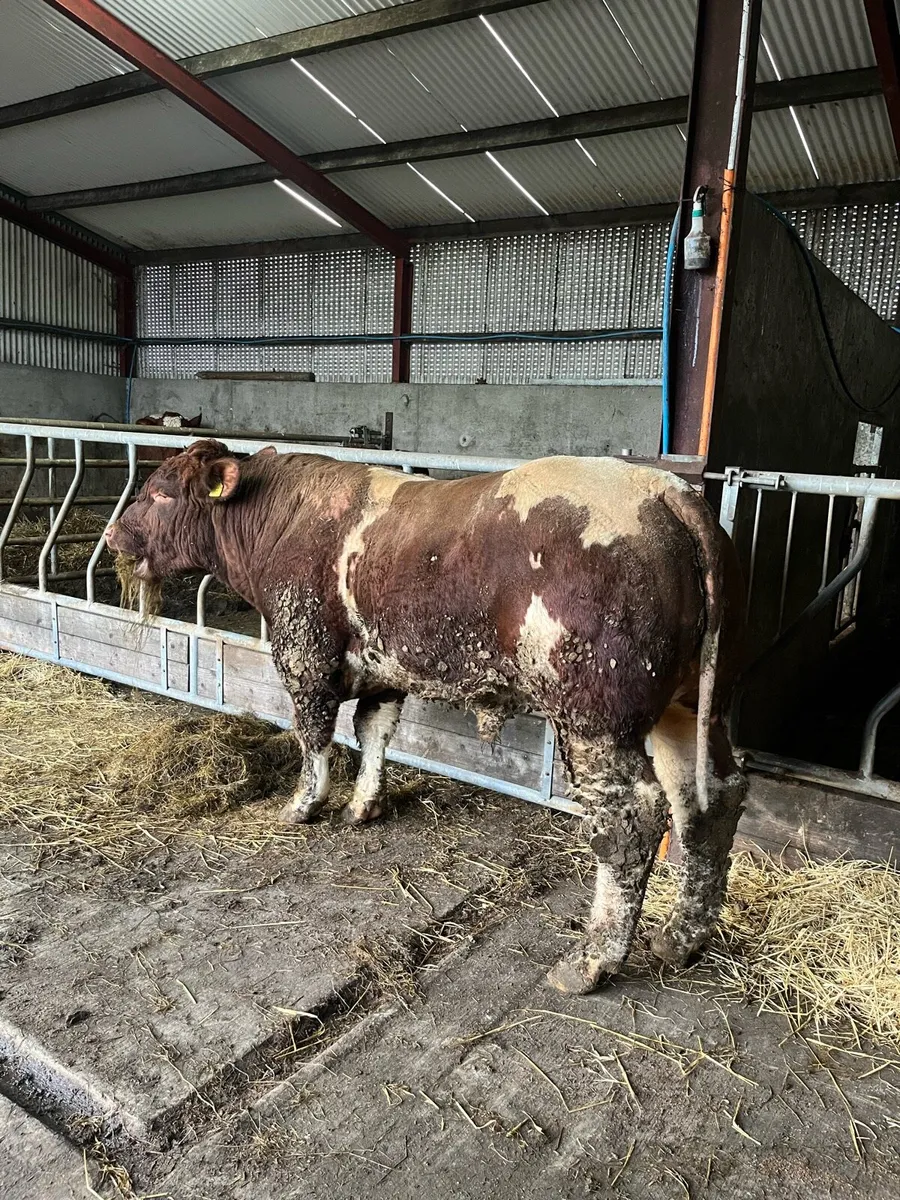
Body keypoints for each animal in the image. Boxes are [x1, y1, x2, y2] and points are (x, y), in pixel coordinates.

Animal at [106, 441, 747, 994]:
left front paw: (303, 805)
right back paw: (682, 937)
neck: (279, 521)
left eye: (160, 492)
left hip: (595, 715)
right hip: (689, 706)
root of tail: (665, 491)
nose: (112, 532)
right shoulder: (385, 667)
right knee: (710, 799)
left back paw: (592, 960)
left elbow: (314, 735)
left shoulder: (303, 652)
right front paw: (364, 805)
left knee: (633, 818)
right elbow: (373, 731)